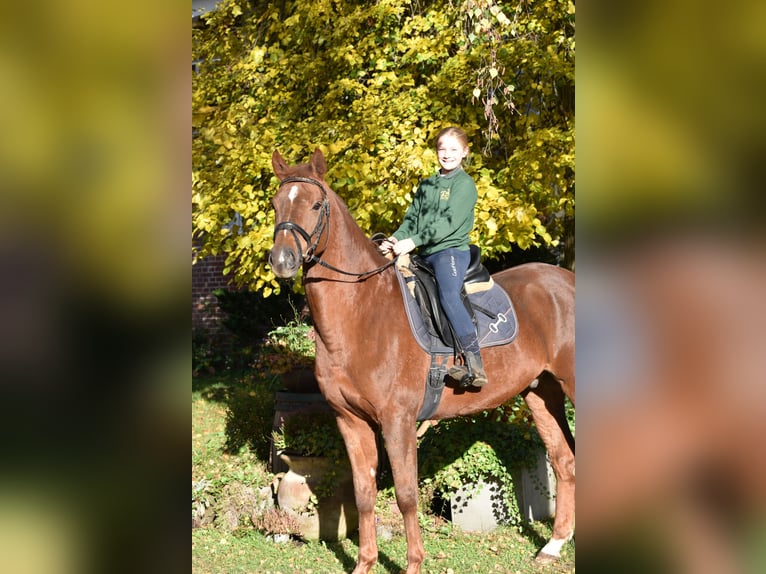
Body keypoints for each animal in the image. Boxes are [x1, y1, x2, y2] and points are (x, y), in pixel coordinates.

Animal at [270, 150, 576, 574]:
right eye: (275, 204)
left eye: (316, 205)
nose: (282, 260)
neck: (363, 315)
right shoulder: (350, 421)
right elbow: (362, 494)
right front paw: (365, 564)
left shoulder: (397, 421)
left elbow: (405, 495)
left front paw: (413, 563)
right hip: (541, 391)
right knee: (563, 460)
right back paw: (554, 545)